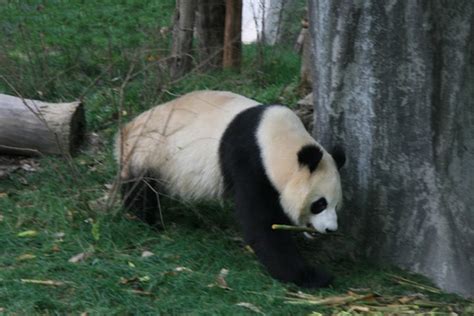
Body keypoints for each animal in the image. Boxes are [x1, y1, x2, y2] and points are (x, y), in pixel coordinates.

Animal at [115, 90, 344, 288]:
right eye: (319, 204)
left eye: (336, 206)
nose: (331, 229)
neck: (275, 140)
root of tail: (125, 130)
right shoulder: (249, 162)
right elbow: (261, 224)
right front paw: (311, 276)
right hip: (149, 153)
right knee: (141, 190)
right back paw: (146, 220)